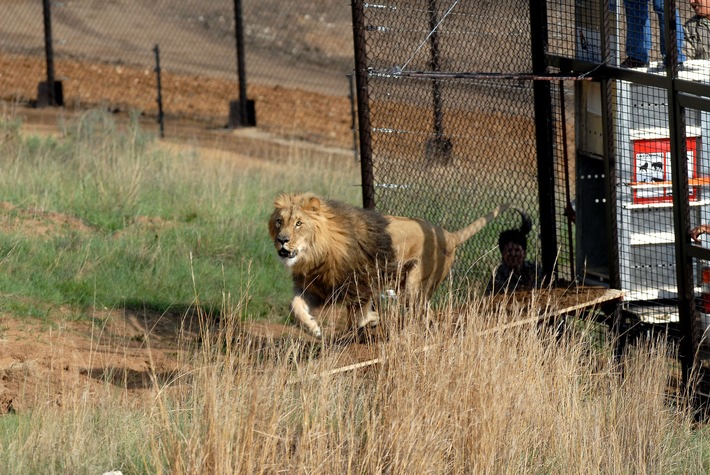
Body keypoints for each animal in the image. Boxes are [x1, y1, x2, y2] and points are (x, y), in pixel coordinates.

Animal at [270, 192, 516, 338]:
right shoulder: (317, 287)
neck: (315, 256)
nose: (282, 240)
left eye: (299, 223)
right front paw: (312, 327)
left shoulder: (361, 282)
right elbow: (295, 306)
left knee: (422, 313)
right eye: (279, 221)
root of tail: (449, 235)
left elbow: (361, 315)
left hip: (415, 285)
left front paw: (372, 321)